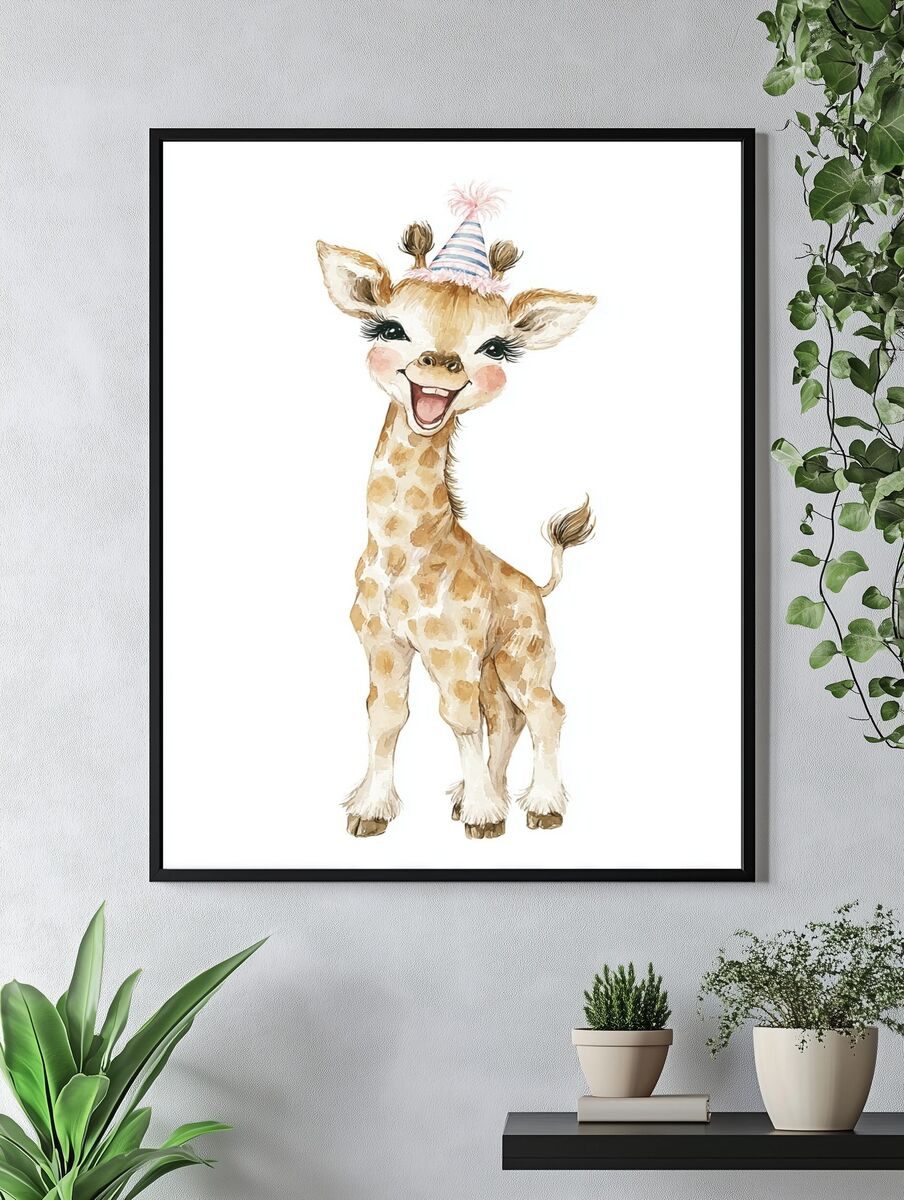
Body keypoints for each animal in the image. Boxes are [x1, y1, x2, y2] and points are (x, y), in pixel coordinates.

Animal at [316, 188, 595, 841]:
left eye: (494, 348)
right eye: (390, 327)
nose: (441, 363)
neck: (401, 551)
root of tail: (536, 585)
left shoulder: (452, 646)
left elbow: (457, 718)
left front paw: (487, 820)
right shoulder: (382, 641)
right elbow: (388, 716)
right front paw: (370, 810)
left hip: (523, 652)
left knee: (544, 709)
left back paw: (541, 807)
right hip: (495, 662)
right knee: (507, 715)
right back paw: (472, 795)